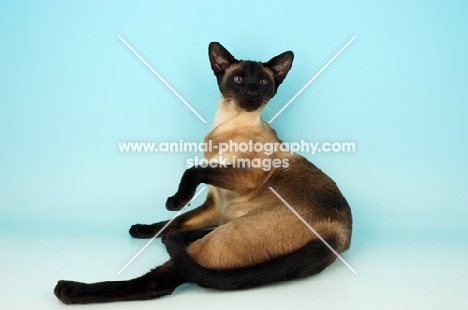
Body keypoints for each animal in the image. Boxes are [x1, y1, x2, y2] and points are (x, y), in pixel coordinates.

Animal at [54, 41, 352, 306]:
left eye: (263, 82)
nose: (252, 94)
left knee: (160, 281)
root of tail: (338, 239)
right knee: (178, 242)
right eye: (239, 79)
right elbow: (174, 221)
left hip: (220, 238)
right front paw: (143, 229)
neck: (226, 126)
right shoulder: (215, 205)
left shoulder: (242, 178)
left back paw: (70, 290)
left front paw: (174, 201)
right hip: (225, 224)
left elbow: (192, 172)